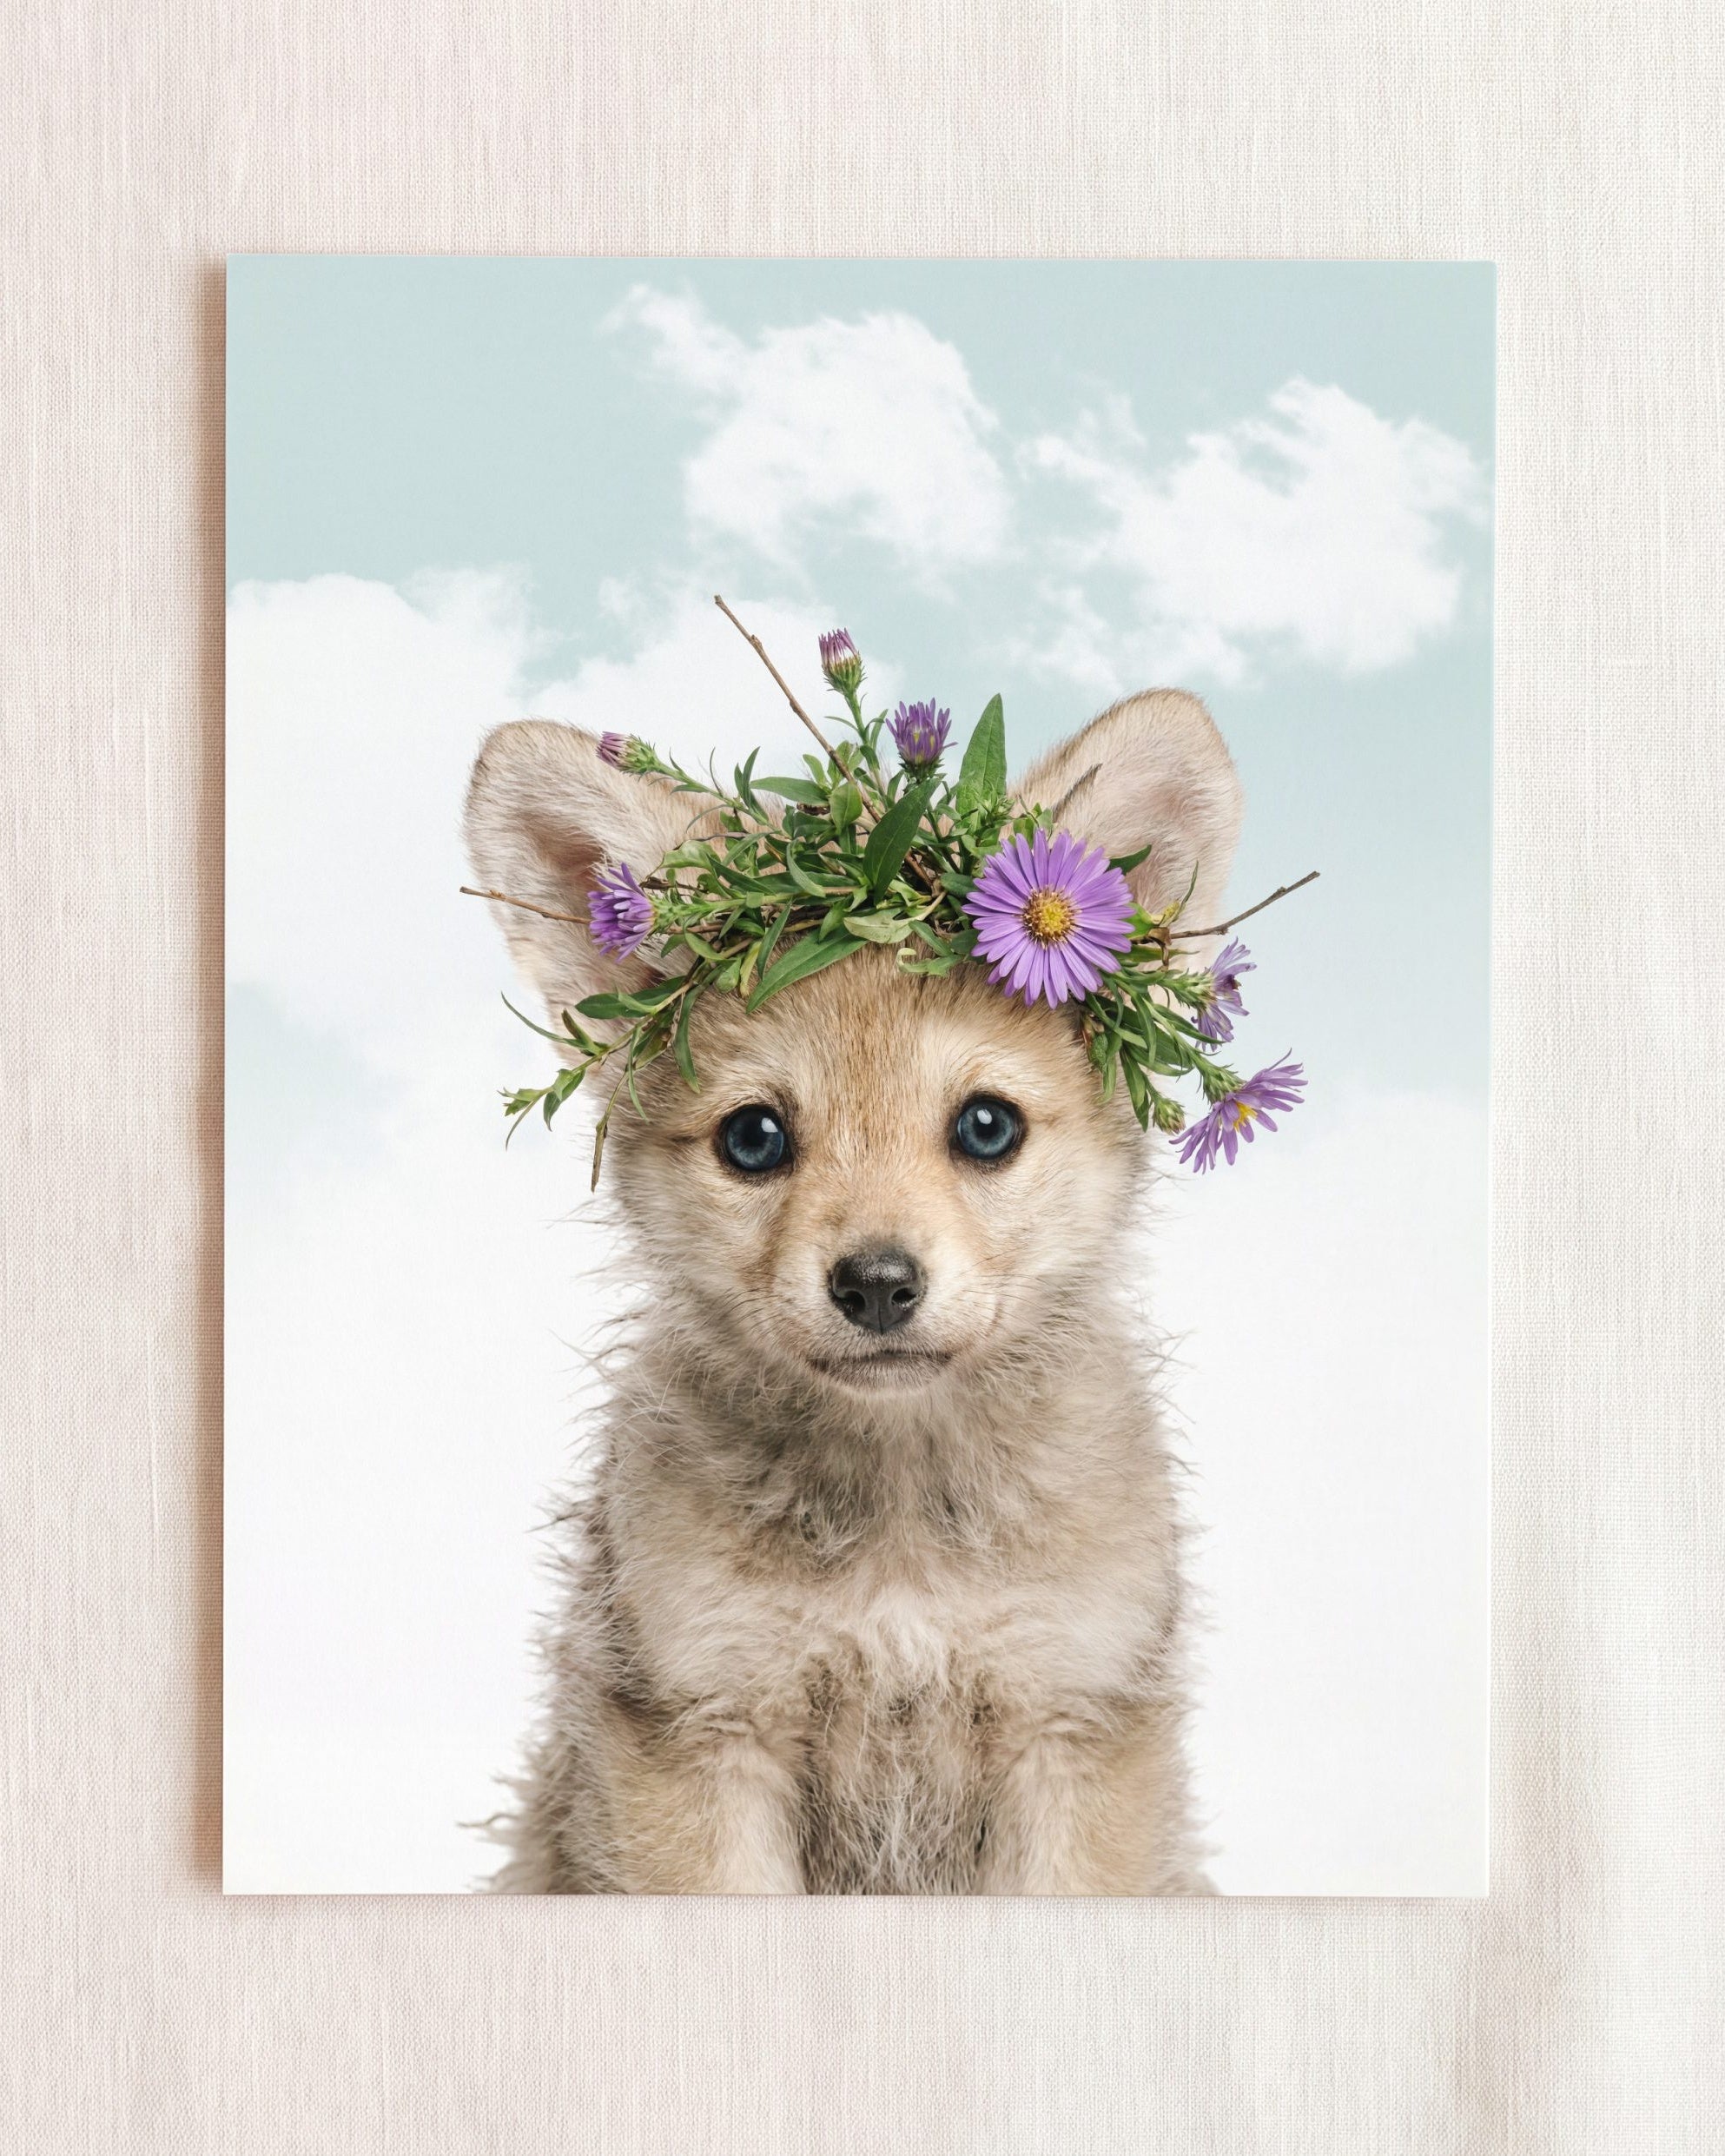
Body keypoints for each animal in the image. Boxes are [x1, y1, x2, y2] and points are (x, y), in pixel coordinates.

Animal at [464, 687, 1241, 1893]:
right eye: (753, 1137)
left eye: (986, 1125)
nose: (876, 1284)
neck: (900, 1523)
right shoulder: (704, 1726)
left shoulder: (1071, 1722)